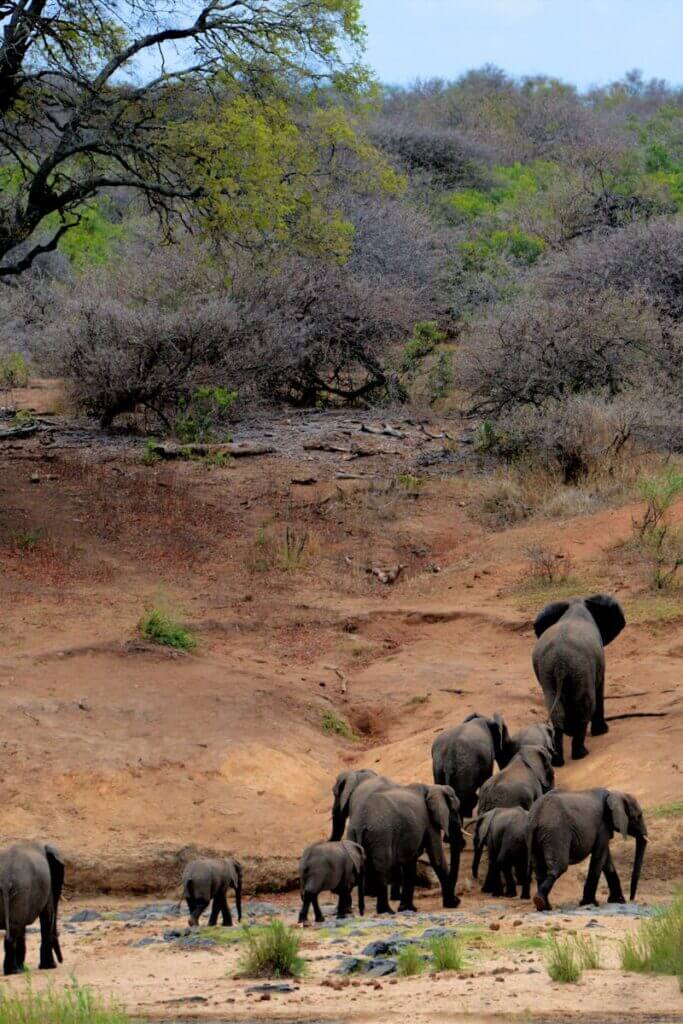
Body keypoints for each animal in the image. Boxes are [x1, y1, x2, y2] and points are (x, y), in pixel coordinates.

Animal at [0, 839, 64, 974]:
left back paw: (14, 970)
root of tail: (5, 879)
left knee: (15, 927)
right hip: (22, 890)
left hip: (20, 893)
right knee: (14, 927)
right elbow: (47, 915)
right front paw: (50, 966)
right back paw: (13, 971)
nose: (61, 961)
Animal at [348, 782, 464, 913]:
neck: (432, 788)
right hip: (381, 835)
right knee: (382, 866)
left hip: (352, 834)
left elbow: (410, 863)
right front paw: (452, 904)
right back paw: (387, 911)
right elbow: (437, 858)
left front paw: (407, 909)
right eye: (455, 810)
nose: (457, 899)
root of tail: (360, 825)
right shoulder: (429, 823)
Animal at [532, 593, 626, 770]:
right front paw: (602, 731)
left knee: (556, 711)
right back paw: (581, 754)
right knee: (586, 705)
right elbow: (600, 687)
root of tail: (560, 663)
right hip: (580, 669)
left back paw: (558, 761)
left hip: (548, 672)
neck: (576, 604)